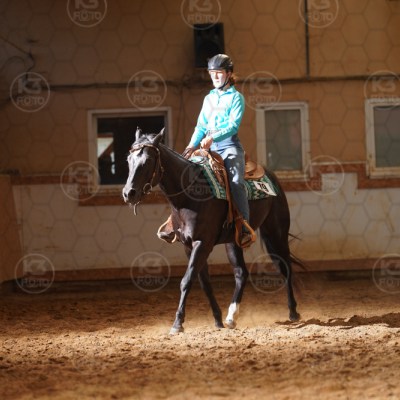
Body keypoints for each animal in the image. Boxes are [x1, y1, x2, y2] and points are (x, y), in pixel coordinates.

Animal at [122, 127, 301, 334]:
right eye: (129, 160)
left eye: (148, 160)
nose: (128, 193)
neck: (189, 196)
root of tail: (272, 177)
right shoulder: (189, 246)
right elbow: (204, 283)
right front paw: (217, 320)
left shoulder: (202, 243)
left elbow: (187, 280)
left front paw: (178, 323)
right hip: (234, 241)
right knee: (241, 273)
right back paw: (231, 317)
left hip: (276, 232)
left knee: (285, 267)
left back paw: (293, 312)